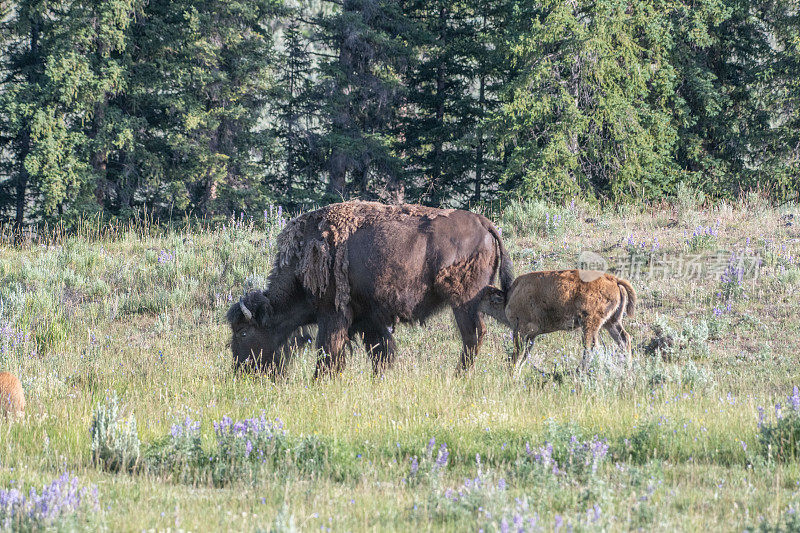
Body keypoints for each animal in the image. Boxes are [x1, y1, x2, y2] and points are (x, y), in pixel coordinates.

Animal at [227, 201, 512, 378]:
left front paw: (319, 381)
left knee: (473, 336)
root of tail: (483, 222)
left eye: (243, 332)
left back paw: (458, 377)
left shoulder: (333, 315)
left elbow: (329, 350)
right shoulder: (368, 319)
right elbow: (380, 352)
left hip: (463, 302)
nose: (240, 370)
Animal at [482, 270, 636, 370]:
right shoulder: (531, 336)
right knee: (624, 339)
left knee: (590, 346)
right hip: (612, 322)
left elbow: (517, 353)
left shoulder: (521, 331)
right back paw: (627, 369)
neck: (510, 297)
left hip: (590, 322)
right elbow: (524, 355)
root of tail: (613, 279)